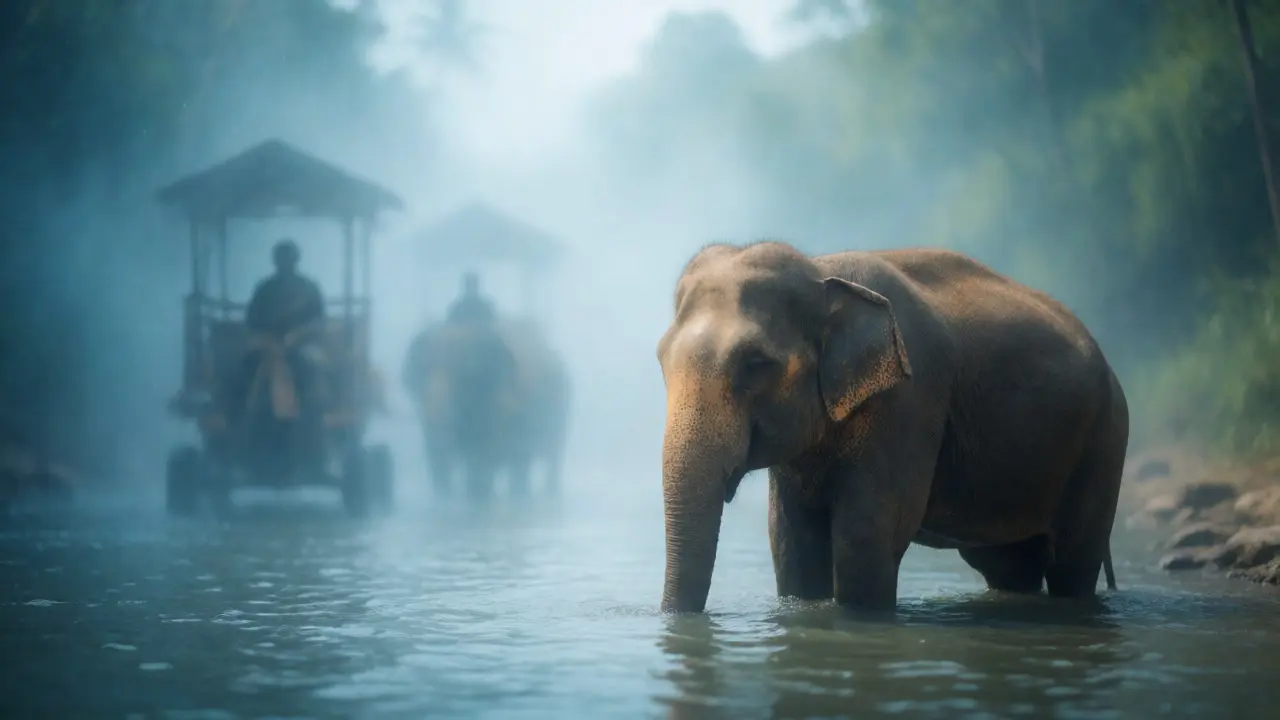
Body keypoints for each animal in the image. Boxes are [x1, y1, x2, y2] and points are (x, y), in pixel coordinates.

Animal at [655, 241, 1127, 614]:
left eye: (756, 364)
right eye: (661, 358)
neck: (821, 270)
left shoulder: (909, 401)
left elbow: (866, 534)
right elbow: (792, 542)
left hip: (1104, 440)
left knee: (1073, 559)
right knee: (1009, 564)